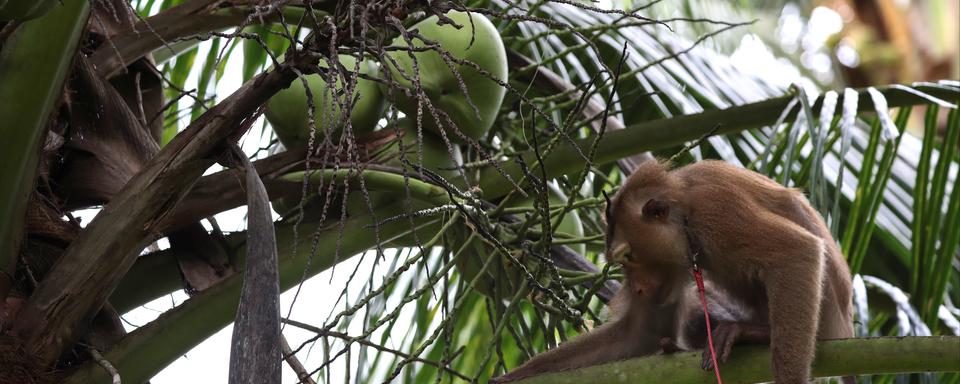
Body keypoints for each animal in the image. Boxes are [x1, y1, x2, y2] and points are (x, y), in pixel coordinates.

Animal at [496, 160, 856, 384]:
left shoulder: (718, 212)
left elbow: (797, 251)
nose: (636, 287)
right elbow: (640, 333)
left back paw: (752, 332)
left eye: (629, 256)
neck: (685, 209)